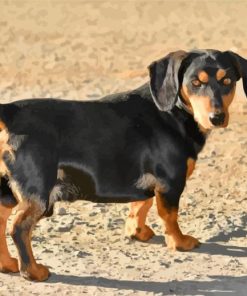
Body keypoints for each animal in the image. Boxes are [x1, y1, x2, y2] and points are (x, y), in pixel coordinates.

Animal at [0, 48, 246, 280]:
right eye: (195, 82)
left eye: (227, 81)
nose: (217, 118)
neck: (173, 113)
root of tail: (11, 113)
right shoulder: (170, 183)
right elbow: (170, 217)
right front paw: (180, 243)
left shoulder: (147, 180)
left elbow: (141, 205)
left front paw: (138, 232)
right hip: (38, 193)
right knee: (19, 228)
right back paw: (33, 272)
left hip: (7, 192)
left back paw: (8, 264)